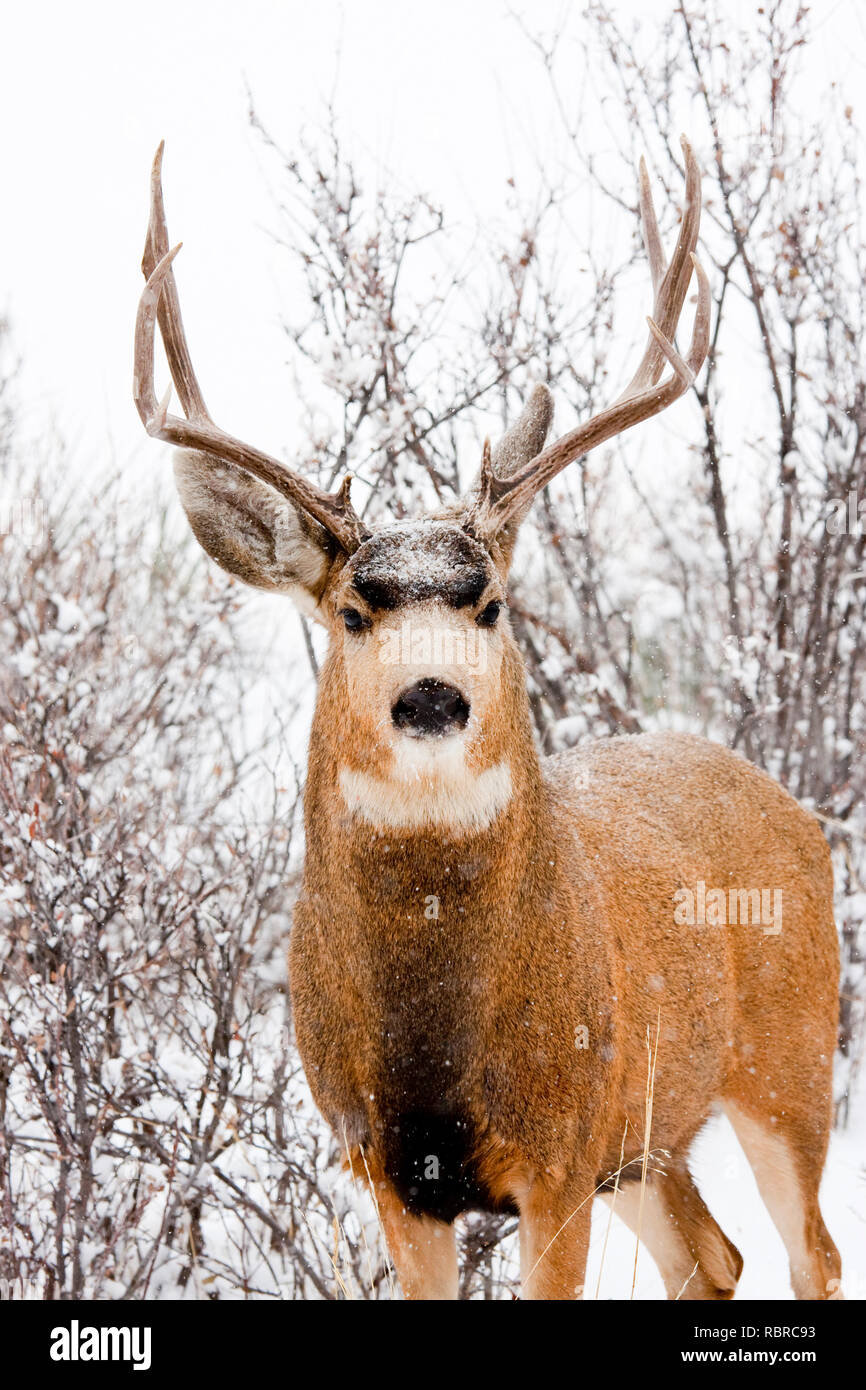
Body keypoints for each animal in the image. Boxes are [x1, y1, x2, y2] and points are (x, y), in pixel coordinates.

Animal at [134, 139, 842, 1301]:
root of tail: (789, 804)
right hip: (642, 1139)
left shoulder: (556, 1155)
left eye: (493, 604)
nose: (432, 694)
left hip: (786, 1059)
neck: (438, 1038)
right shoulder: (391, 1172)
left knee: (807, 1250)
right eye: (353, 610)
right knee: (714, 1254)